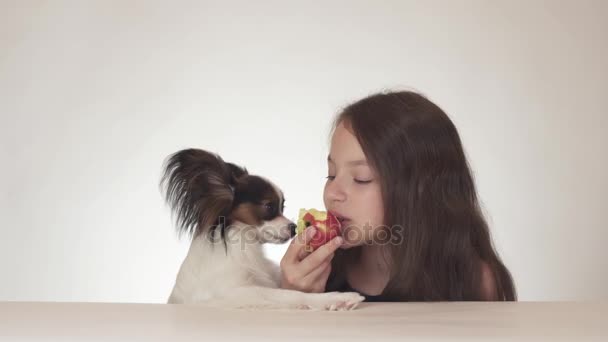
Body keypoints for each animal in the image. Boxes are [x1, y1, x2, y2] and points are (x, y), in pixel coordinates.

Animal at [159, 149, 364, 310]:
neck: (245, 247)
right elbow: (290, 294)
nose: (294, 228)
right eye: (269, 206)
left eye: (283, 205)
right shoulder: (238, 293)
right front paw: (338, 298)